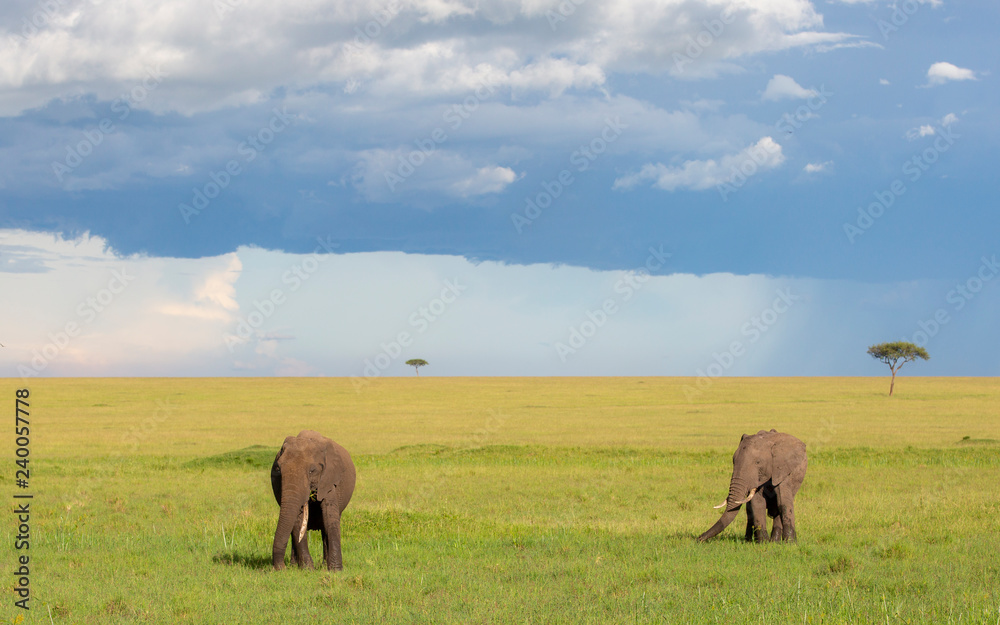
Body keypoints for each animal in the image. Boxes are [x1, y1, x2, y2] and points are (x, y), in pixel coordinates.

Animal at [271, 430, 356, 571]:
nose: (281, 568)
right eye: (278, 470)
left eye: (312, 471)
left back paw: (323, 565)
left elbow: (329, 518)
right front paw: (308, 569)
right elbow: (298, 522)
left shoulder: (329, 479)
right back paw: (295, 566)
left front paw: (336, 570)